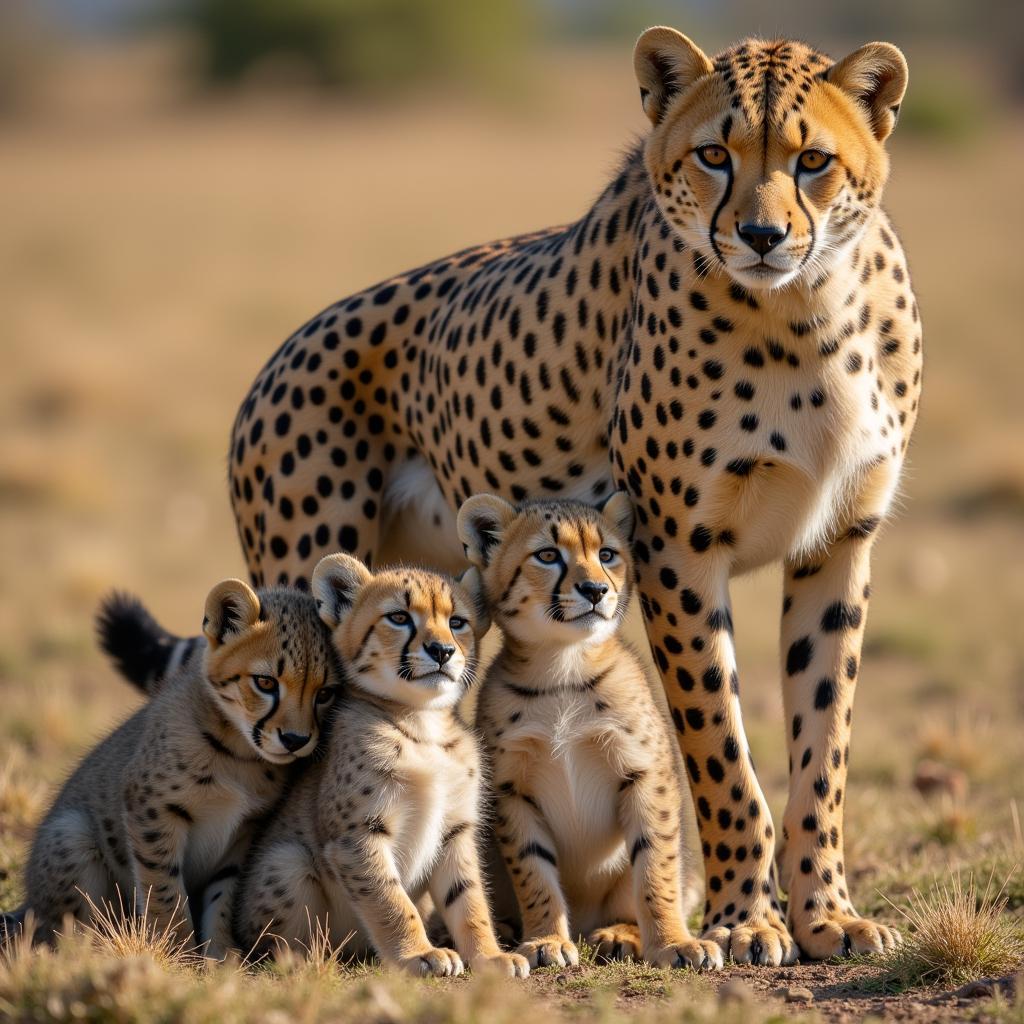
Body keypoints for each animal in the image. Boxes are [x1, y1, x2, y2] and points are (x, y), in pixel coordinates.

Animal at [230, 28, 921, 962]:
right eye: (714, 155)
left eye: (813, 160)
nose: (761, 234)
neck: (805, 311)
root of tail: (276, 357)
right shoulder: (677, 553)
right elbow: (721, 755)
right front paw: (745, 917)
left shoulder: (838, 546)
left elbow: (823, 751)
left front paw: (825, 913)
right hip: (306, 593)